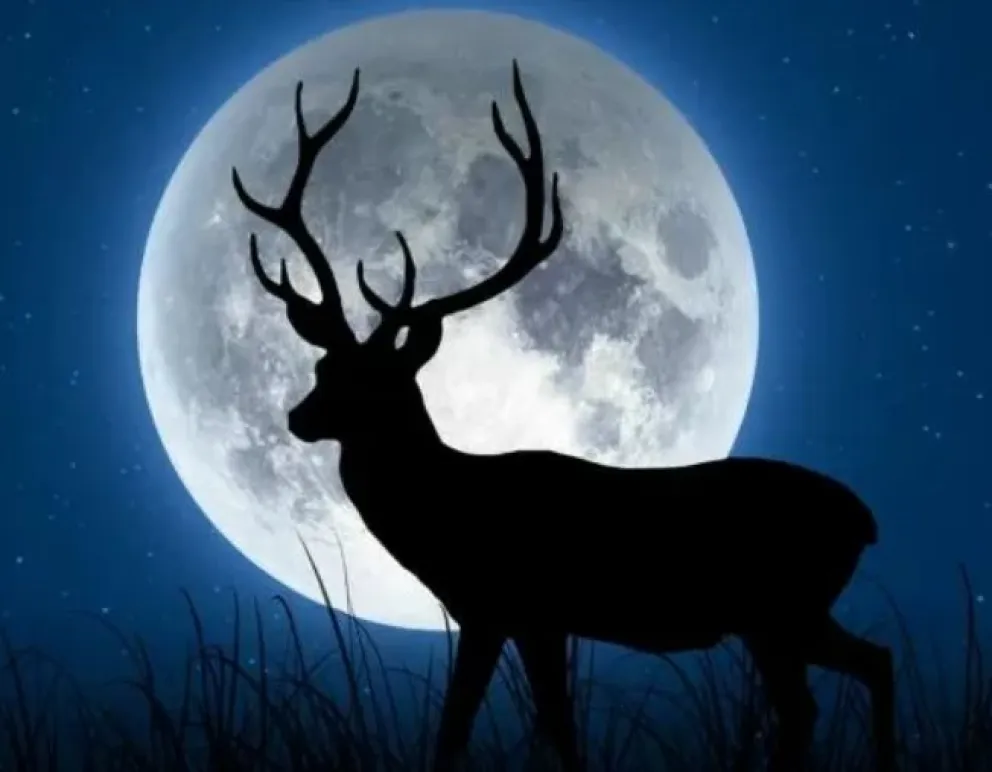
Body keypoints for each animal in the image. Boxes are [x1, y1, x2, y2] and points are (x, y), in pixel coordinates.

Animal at [231, 61, 896, 772]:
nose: (298, 418)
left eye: (373, 383)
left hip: (779, 609)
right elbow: (537, 725)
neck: (449, 512)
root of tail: (864, 520)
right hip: (790, 615)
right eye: (322, 369)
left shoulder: (512, 607)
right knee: (868, 666)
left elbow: (482, 726)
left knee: (814, 700)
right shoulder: (515, 618)